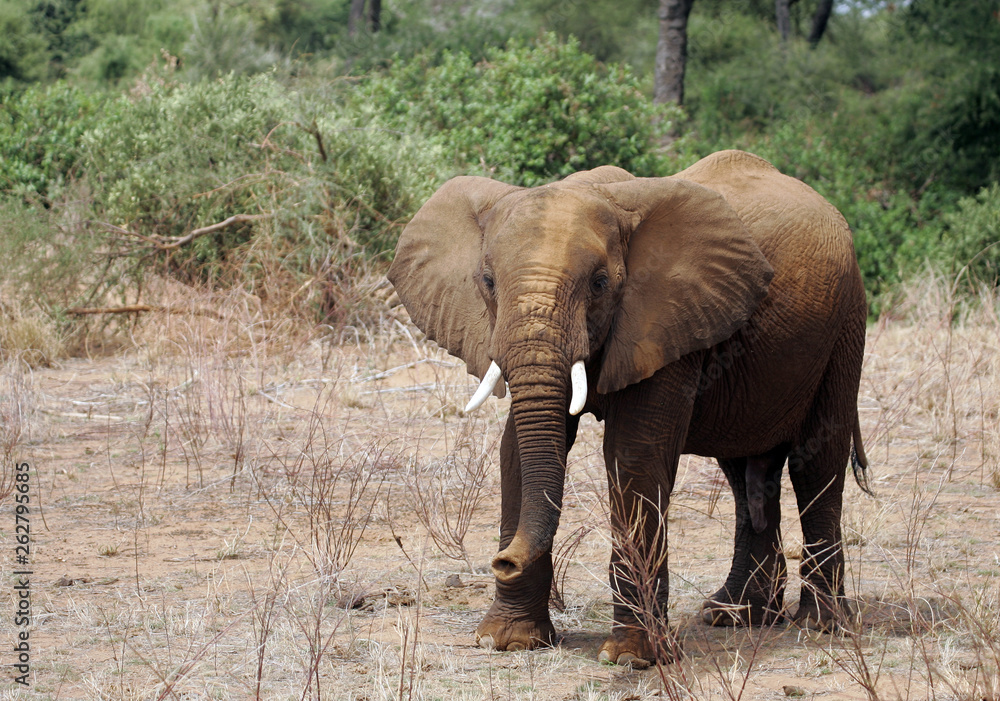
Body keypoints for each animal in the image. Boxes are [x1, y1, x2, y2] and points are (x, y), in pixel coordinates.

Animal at [386, 150, 872, 664]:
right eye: (487, 281)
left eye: (600, 284)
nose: (503, 561)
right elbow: (516, 451)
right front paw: (506, 641)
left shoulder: (665, 318)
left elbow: (633, 454)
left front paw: (632, 657)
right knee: (744, 472)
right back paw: (735, 616)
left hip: (846, 321)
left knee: (816, 461)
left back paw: (820, 626)